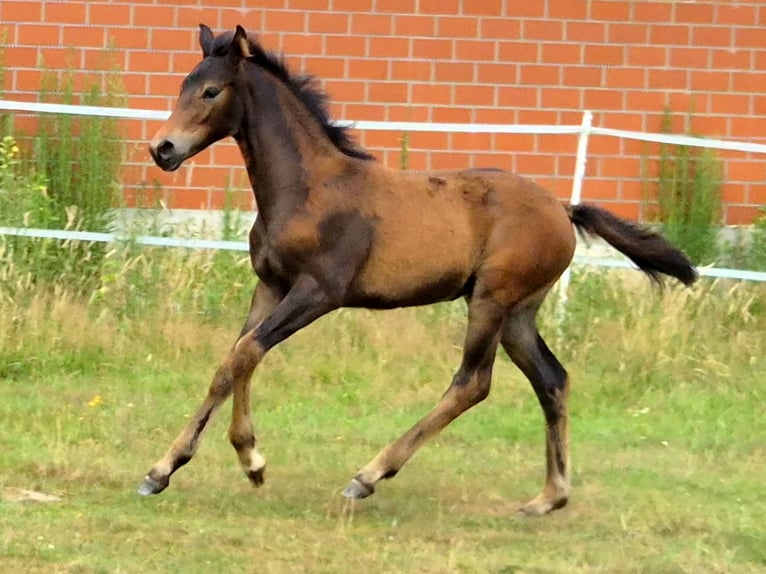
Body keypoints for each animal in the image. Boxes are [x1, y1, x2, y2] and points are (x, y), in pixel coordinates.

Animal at [142, 24, 696, 515]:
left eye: (211, 90)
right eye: (183, 85)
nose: (162, 149)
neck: (310, 188)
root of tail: (562, 209)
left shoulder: (318, 292)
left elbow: (248, 352)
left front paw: (252, 460)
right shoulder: (270, 286)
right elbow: (231, 361)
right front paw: (162, 470)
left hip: (491, 300)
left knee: (473, 383)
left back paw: (368, 475)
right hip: (519, 313)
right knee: (552, 379)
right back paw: (549, 497)